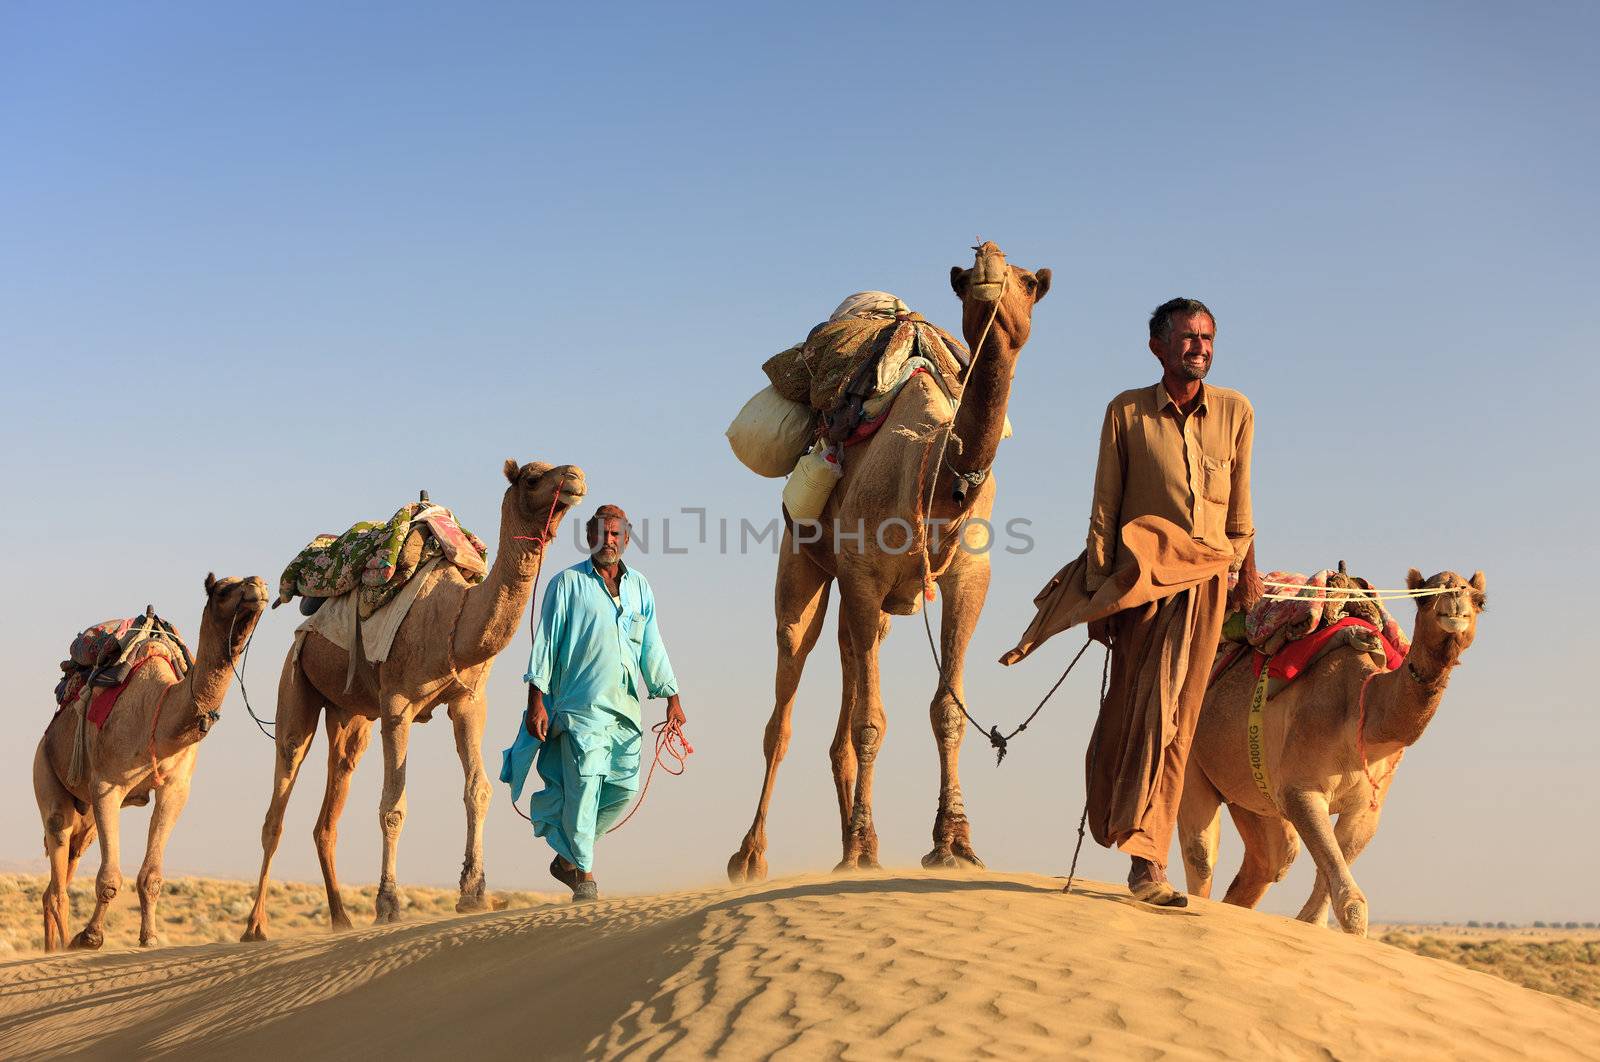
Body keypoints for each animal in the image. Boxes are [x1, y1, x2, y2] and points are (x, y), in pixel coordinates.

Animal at [32, 575, 268, 946]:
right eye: (222, 590)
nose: (258, 586)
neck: (158, 713)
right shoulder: (107, 785)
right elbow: (109, 879)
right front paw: (91, 937)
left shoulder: (175, 789)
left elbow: (152, 877)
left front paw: (150, 939)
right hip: (45, 769)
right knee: (57, 868)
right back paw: (62, 949)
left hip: (84, 815)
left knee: (61, 871)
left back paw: (53, 948)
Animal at [240, 457, 585, 940]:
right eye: (533, 477)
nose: (575, 477)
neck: (455, 619)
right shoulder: (397, 705)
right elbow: (393, 805)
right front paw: (389, 905)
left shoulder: (468, 702)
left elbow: (478, 788)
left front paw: (474, 894)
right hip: (296, 683)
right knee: (279, 801)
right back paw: (255, 927)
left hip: (350, 715)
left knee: (329, 812)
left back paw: (341, 919)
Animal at [726, 239, 1049, 876]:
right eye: (963, 281)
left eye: (1028, 281)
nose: (989, 260)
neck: (937, 479)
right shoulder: (863, 574)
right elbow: (870, 723)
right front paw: (865, 847)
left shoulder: (969, 577)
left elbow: (947, 710)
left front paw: (953, 843)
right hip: (804, 561)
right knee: (785, 699)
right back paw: (752, 855)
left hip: (872, 613)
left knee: (846, 687)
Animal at [1177, 569, 1484, 934]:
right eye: (1423, 597)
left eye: (1480, 600)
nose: (1455, 598)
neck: (1364, 713)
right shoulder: (1300, 790)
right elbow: (1352, 906)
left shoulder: (1365, 809)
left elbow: (1321, 908)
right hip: (1190, 753)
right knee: (1201, 855)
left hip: (1251, 791)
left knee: (1273, 859)